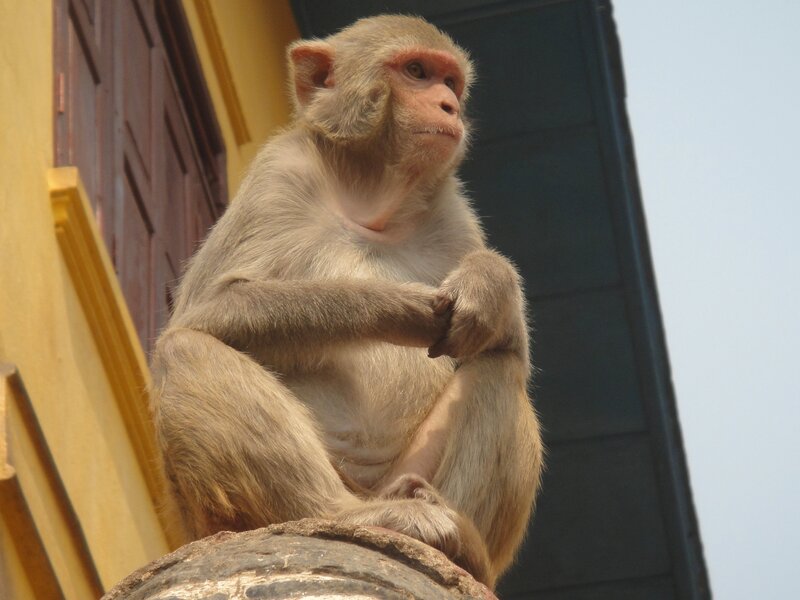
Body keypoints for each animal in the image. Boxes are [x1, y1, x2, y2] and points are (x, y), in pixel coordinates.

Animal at [149, 14, 543, 589]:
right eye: (417, 71)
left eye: (450, 82)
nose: (449, 106)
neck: (370, 202)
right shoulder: (279, 173)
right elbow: (211, 308)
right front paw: (393, 306)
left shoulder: (454, 211)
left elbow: (507, 341)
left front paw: (488, 283)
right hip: (216, 516)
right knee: (184, 349)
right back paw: (351, 514)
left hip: (408, 471)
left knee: (498, 366)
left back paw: (461, 545)